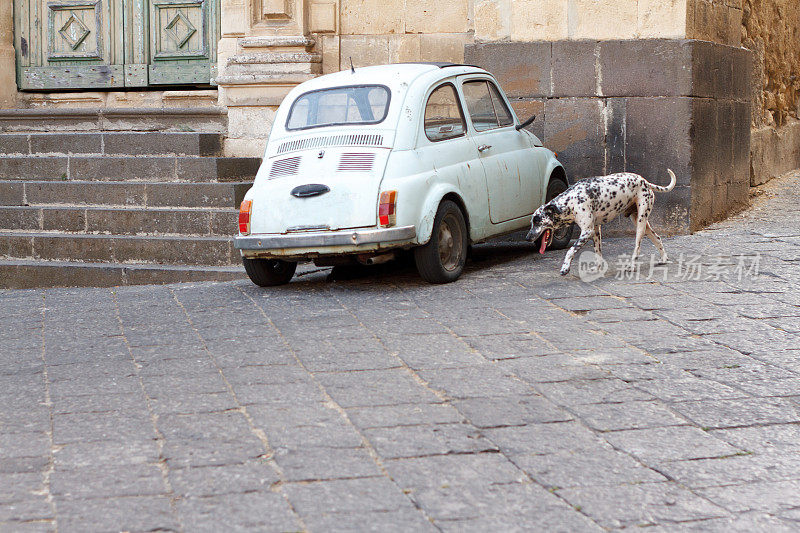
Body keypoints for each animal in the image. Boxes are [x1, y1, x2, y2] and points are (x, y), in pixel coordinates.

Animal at [524, 168, 676, 276]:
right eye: (532, 221)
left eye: (537, 221)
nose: (527, 238)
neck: (572, 201)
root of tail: (645, 182)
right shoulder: (596, 230)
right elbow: (597, 252)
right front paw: (597, 269)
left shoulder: (587, 231)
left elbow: (570, 251)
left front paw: (565, 268)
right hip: (642, 223)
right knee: (657, 238)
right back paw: (663, 259)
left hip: (640, 224)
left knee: (637, 248)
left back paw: (632, 266)